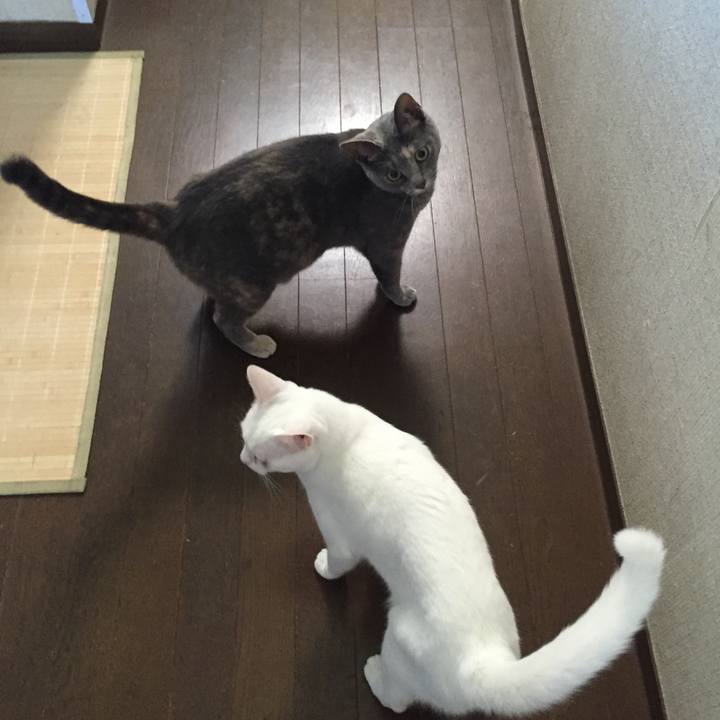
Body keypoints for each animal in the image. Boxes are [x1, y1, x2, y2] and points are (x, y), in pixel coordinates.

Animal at [0, 93, 439, 358]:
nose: (420, 183)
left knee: (214, 303)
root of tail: (173, 210)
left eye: (422, 153)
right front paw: (402, 296)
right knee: (224, 321)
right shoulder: (387, 242)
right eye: (394, 175)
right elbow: (389, 275)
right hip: (255, 284)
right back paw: (257, 344)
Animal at [240, 365, 665, 716]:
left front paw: (323, 568)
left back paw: (374, 673)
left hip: (397, 637)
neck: (349, 437)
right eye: (242, 436)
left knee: (398, 700)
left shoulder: (338, 531)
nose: (243, 461)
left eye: (263, 460)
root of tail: (484, 661)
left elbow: (337, 560)